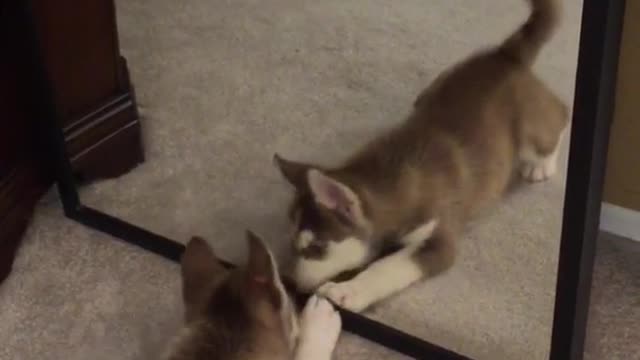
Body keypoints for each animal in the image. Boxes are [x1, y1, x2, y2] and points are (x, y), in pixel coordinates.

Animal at [272, 0, 568, 312]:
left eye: (316, 248)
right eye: (291, 241)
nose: (288, 283)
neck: (387, 179)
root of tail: (505, 56)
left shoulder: (438, 240)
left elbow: (386, 268)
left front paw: (347, 291)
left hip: (531, 126)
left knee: (559, 116)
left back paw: (542, 164)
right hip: (436, 86)